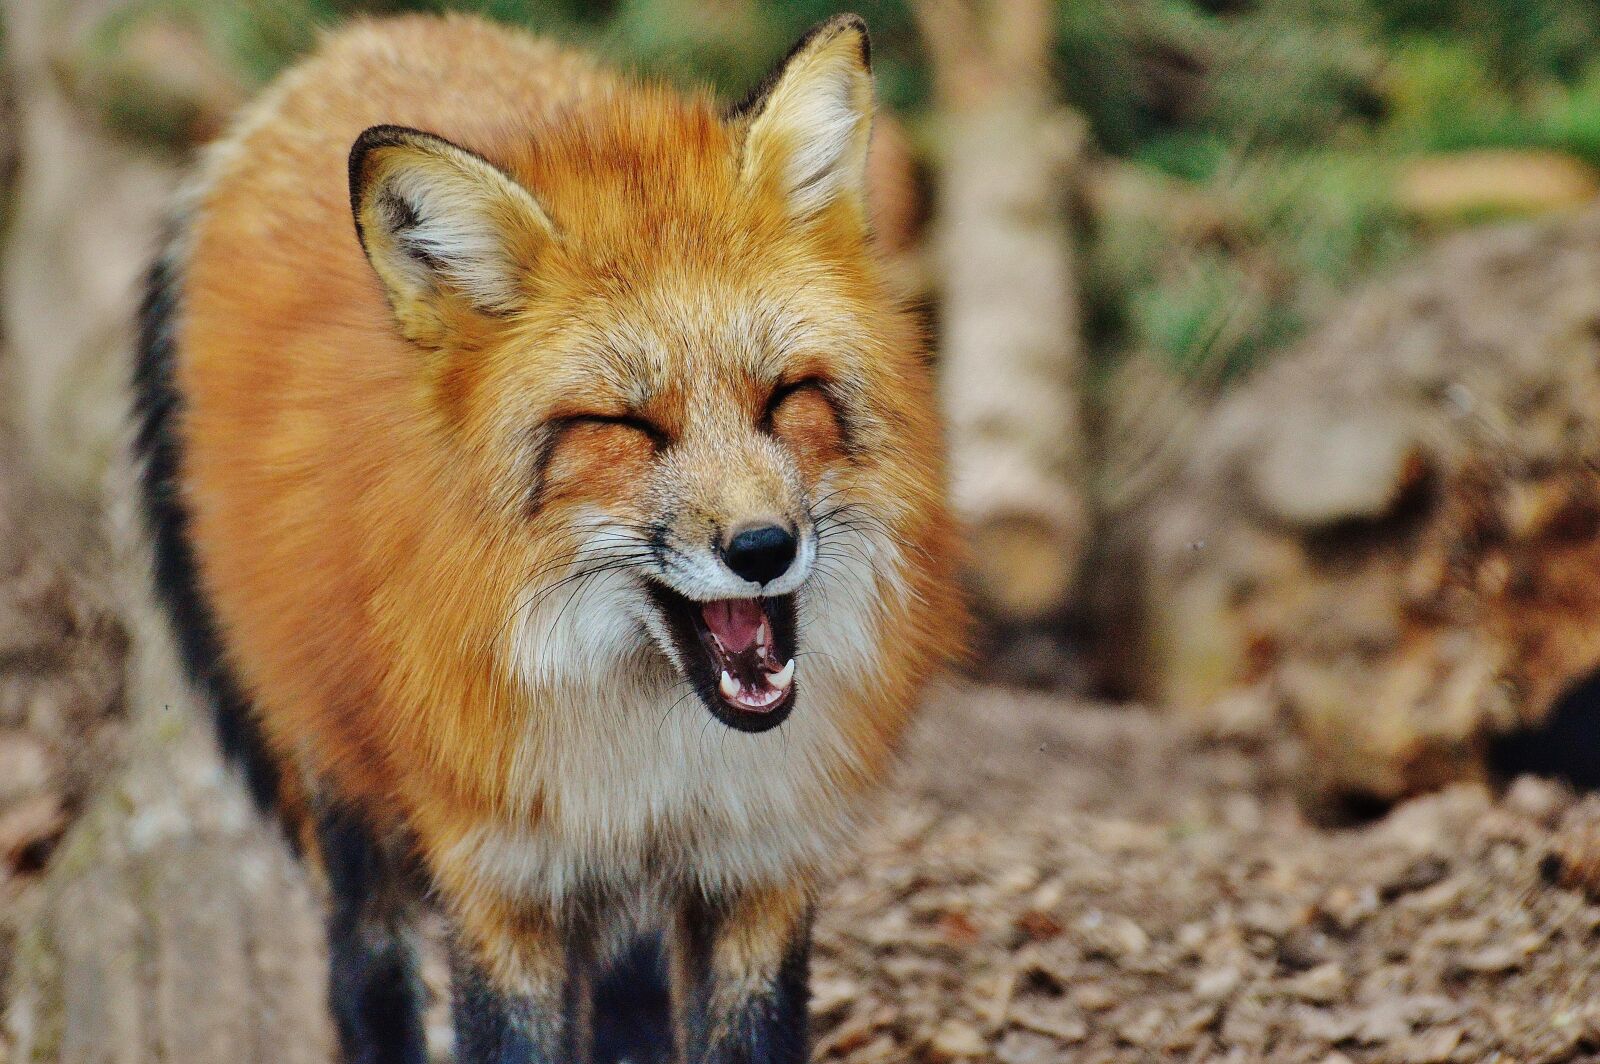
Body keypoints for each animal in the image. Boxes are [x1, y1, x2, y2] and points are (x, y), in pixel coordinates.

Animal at [130, 11, 962, 1064]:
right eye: (626, 426)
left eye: (785, 398)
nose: (763, 549)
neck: (654, 756)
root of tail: (354, 42)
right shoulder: (502, 880)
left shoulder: (754, 865)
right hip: (344, 796)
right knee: (364, 974)